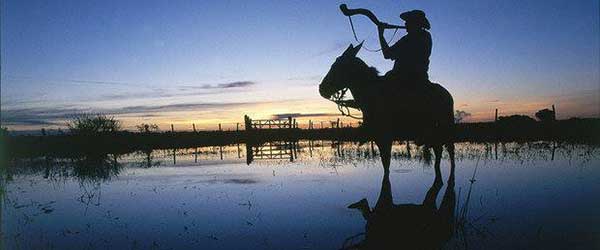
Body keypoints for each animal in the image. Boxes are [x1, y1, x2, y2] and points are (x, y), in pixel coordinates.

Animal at [318, 43, 454, 172]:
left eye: (336, 66)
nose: (321, 88)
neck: (372, 93)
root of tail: (447, 94)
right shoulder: (378, 137)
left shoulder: (385, 137)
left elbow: (386, 168)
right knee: (438, 151)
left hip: (446, 126)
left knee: (450, 151)